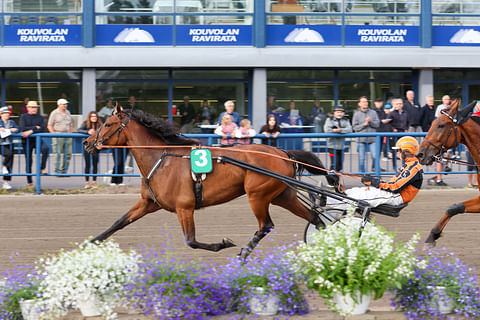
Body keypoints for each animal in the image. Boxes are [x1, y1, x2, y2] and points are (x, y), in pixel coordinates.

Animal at [82, 106, 338, 258]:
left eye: (107, 124)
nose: (86, 143)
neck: (162, 160)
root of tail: (283, 153)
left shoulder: (184, 207)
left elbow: (191, 241)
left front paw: (222, 244)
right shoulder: (148, 203)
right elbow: (118, 223)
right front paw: (90, 242)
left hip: (257, 195)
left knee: (266, 225)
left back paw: (243, 255)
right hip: (282, 195)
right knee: (315, 219)